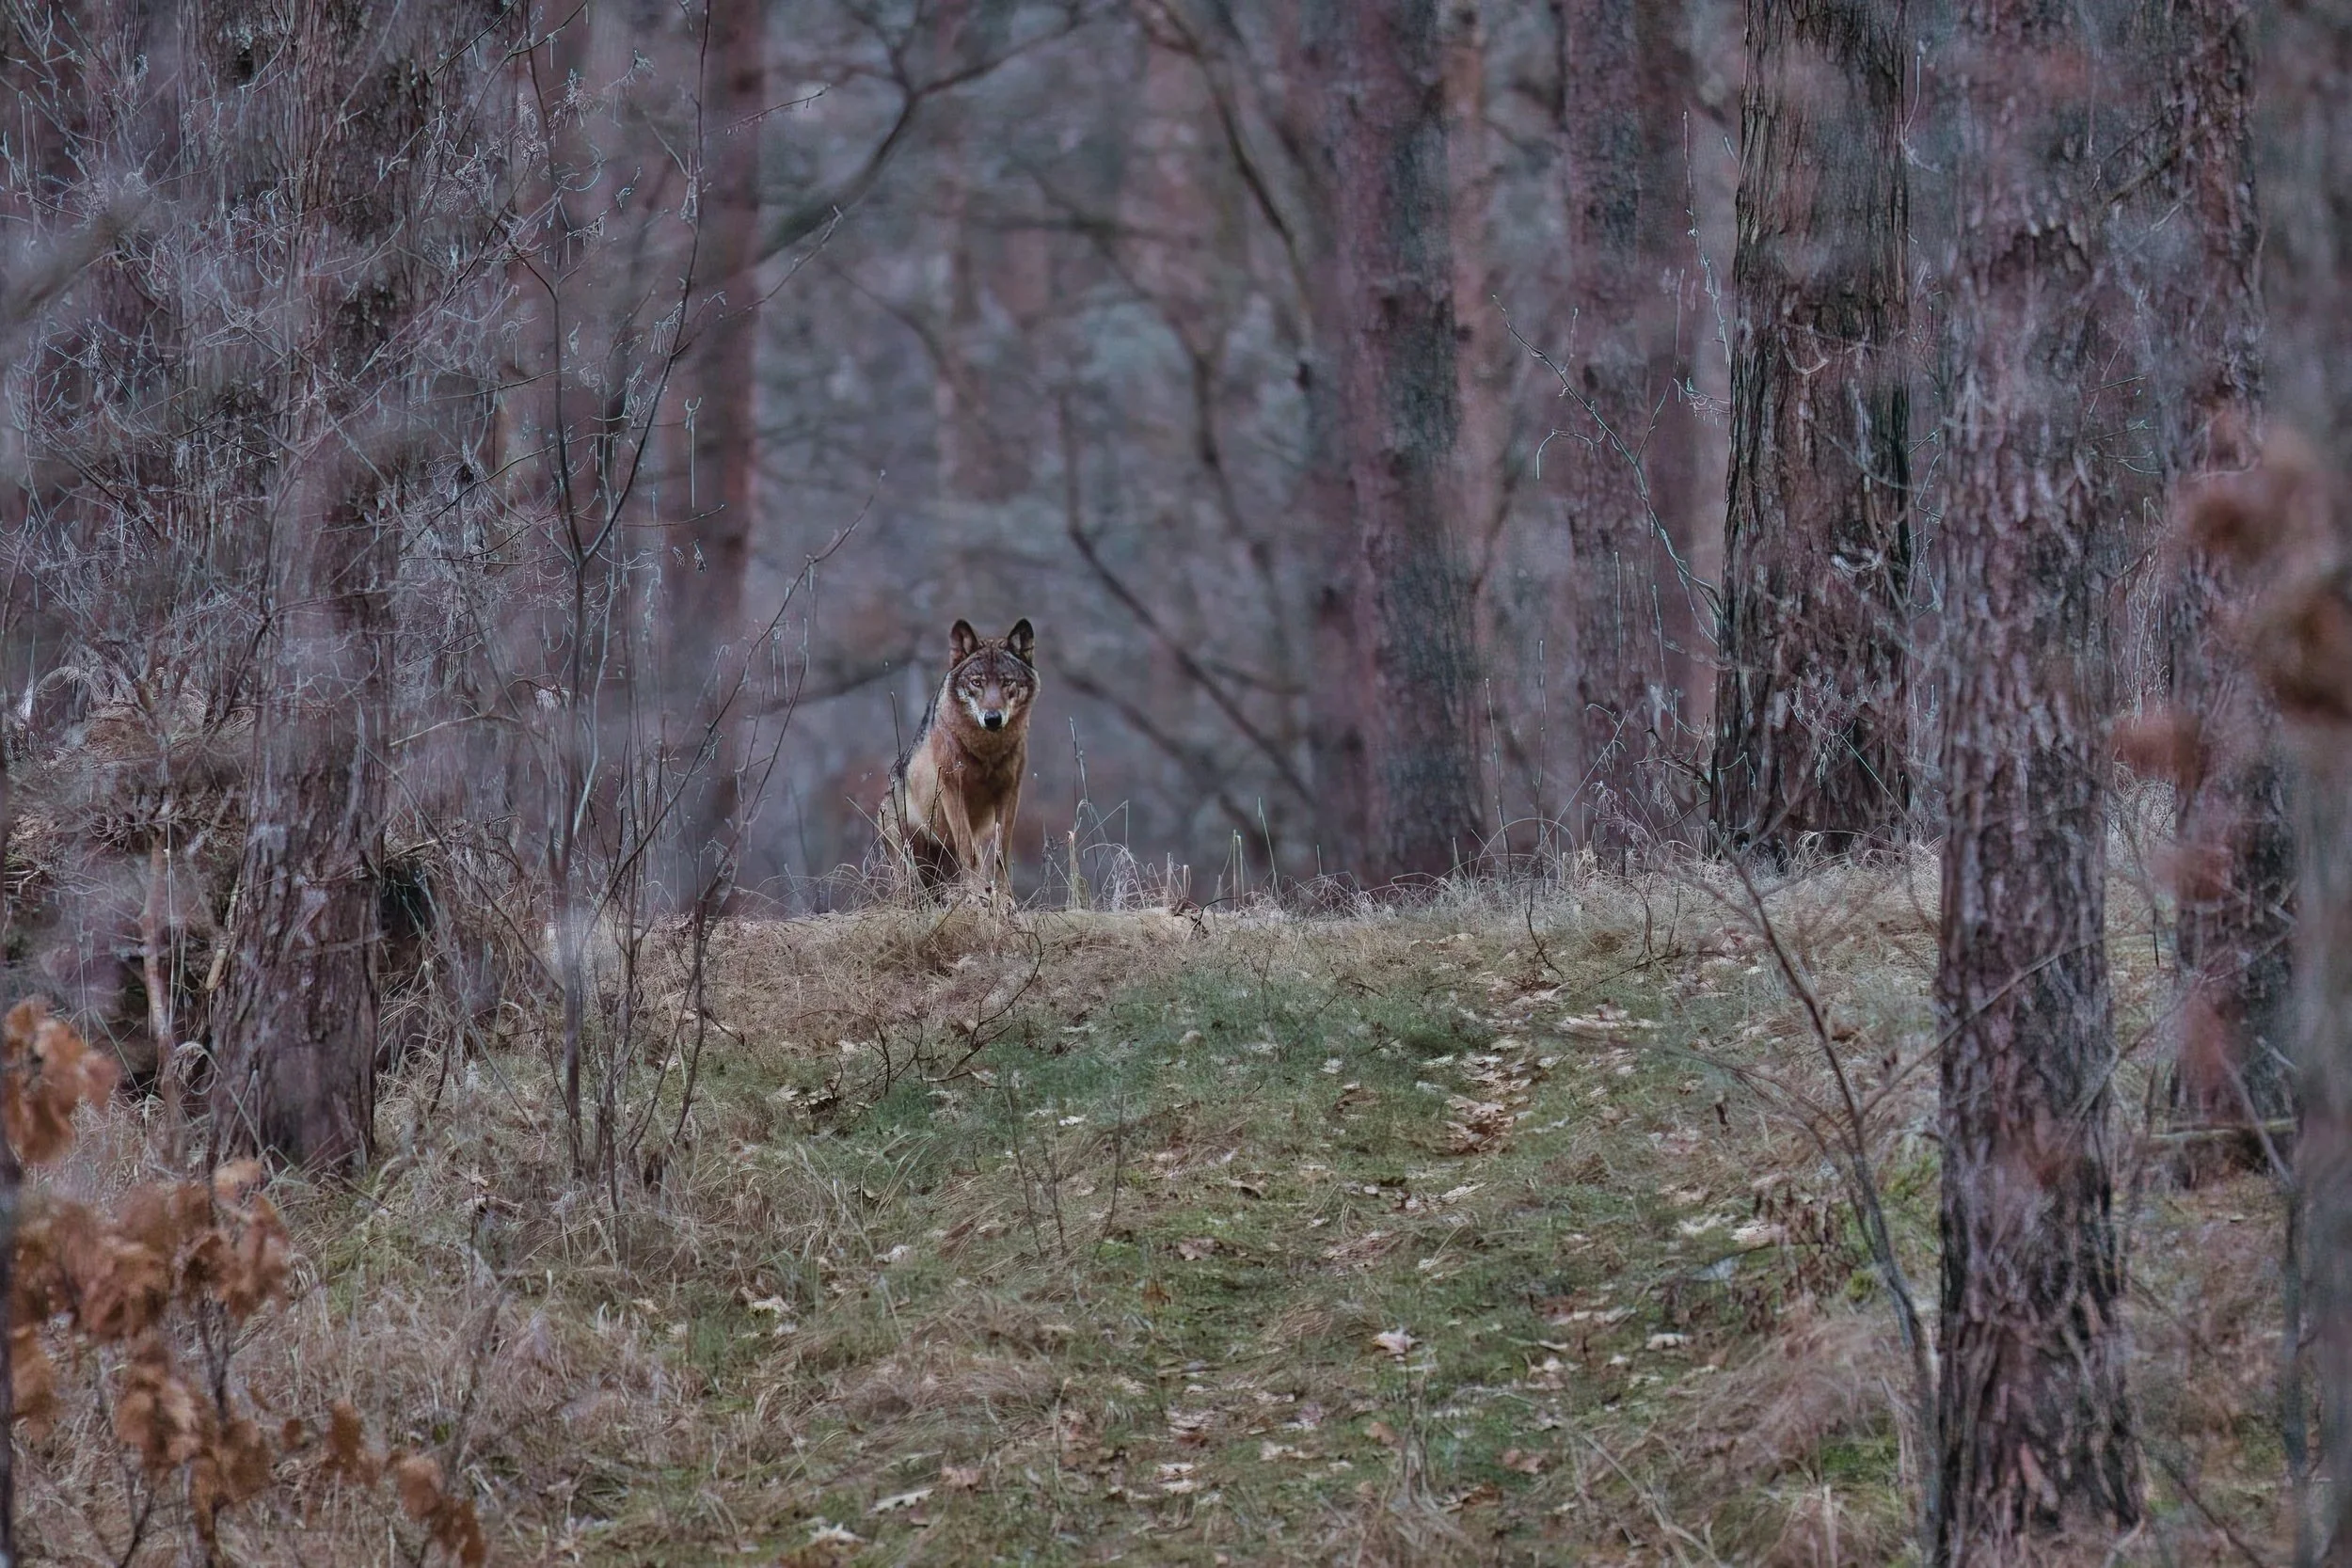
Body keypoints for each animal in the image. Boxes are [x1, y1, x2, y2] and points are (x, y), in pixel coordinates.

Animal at [884, 618, 1037, 902]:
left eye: (1007, 682)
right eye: (977, 682)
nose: (992, 718)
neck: (986, 750)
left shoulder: (1011, 791)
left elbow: (1001, 851)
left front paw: (1005, 898)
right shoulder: (953, 788)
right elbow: (969, 851)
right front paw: (976, 895)